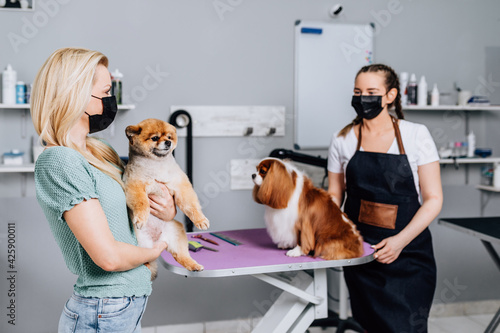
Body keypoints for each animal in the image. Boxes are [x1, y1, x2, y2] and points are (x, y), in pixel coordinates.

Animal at [125, 118, 211, 276]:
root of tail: (154, 242)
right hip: (135, 246)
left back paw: (193, 265)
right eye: (154, 138)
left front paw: (200, 220)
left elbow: (191, 205)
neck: (157, 166)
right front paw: (141, 218)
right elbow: (142, 203)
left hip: (176, 232)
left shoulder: (180, 185)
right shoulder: (134, 185)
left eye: (169, 137)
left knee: (182, 255)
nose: (168, 142)